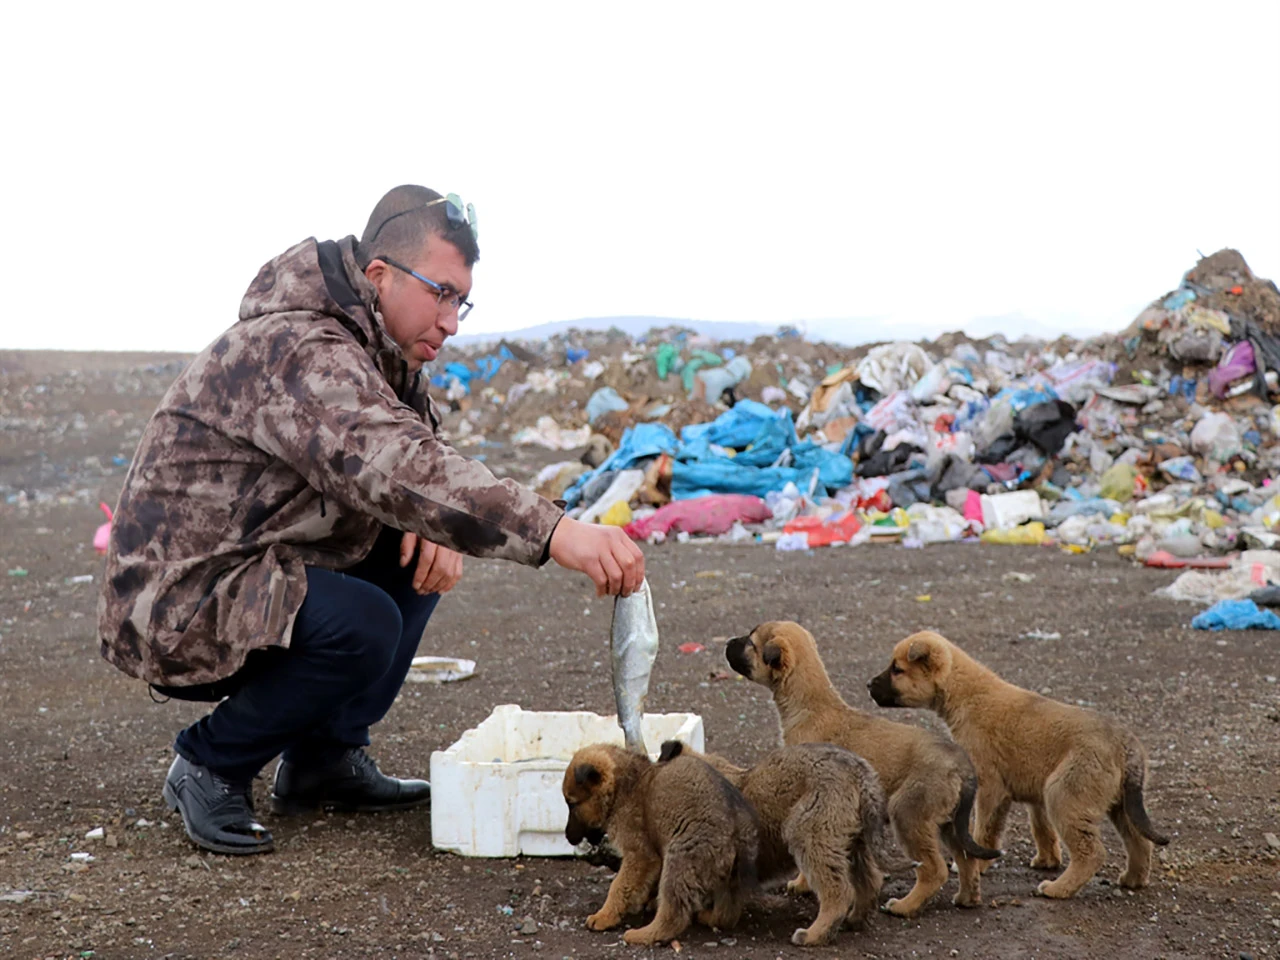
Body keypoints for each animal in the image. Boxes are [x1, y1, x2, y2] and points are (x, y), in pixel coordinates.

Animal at [563, 742, 757, 947]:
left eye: (572, 804)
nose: (567, 836)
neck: (623, 787)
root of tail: (737, 836)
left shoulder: (641, 854)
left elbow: (618, 884)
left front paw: (604, 916)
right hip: (729, 879)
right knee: (727, 915)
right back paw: (709, 917)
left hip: (680, 859)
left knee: (674, 915)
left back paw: (643, 934)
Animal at [665, 742, 896, 952]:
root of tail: (859, 773)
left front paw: (710, 917)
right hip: (854, 842)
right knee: (871, 880)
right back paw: (855, 919)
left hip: (811, 835)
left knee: (838, 892)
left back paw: (813, 935)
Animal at [727, 619, 993, 921]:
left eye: (751, 643)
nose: (727, 642)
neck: (810, 706)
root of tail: (962, 764)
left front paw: (802, 884)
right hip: (949, 822)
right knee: (967, 859)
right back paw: (967, 898)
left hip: (908, 813)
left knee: (934, 870)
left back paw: (905, 906)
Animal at [870, 632, 1172, 901]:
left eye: (897, 669)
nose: (868, 685)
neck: (968, 696)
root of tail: (1127, 744)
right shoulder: (1034, 793)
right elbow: (1042, 829)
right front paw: (1047, 860)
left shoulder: (990, 787)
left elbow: (985, 831)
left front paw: (979, 863)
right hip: (1119, 803)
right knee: (1139, 841)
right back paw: (1132, 879)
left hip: (1064, 795)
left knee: (1092, 853)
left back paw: (1057, 889)